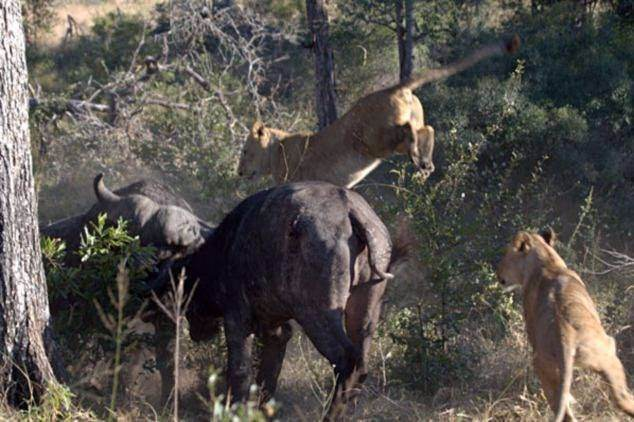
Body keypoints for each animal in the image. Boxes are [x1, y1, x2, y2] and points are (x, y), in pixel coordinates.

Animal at [157, 181, 404, 418]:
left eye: (187, 299)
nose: (195, 333)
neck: (226, 247)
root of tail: (349, 209)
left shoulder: (237, 320)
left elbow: (240, 371)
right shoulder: (276, 330)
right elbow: (268, 374)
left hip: (316, 314)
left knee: (347, 361)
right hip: (365, 313)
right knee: (361, 365)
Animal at [237, 35, 520, 187]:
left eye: (245, 151)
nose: (238, 172)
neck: (276, 149)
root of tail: (395, 87)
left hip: (374, 141)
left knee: (408, 131)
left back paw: (418, 158)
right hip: (393, 135)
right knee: (427, 128)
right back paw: (425, 165)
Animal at [496, 229, 632, 420]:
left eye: (506, 254)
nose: (498, 273)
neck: (547, 263)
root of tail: (565, 335)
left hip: (547, 369)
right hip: (607, 357)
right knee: (622, 399)